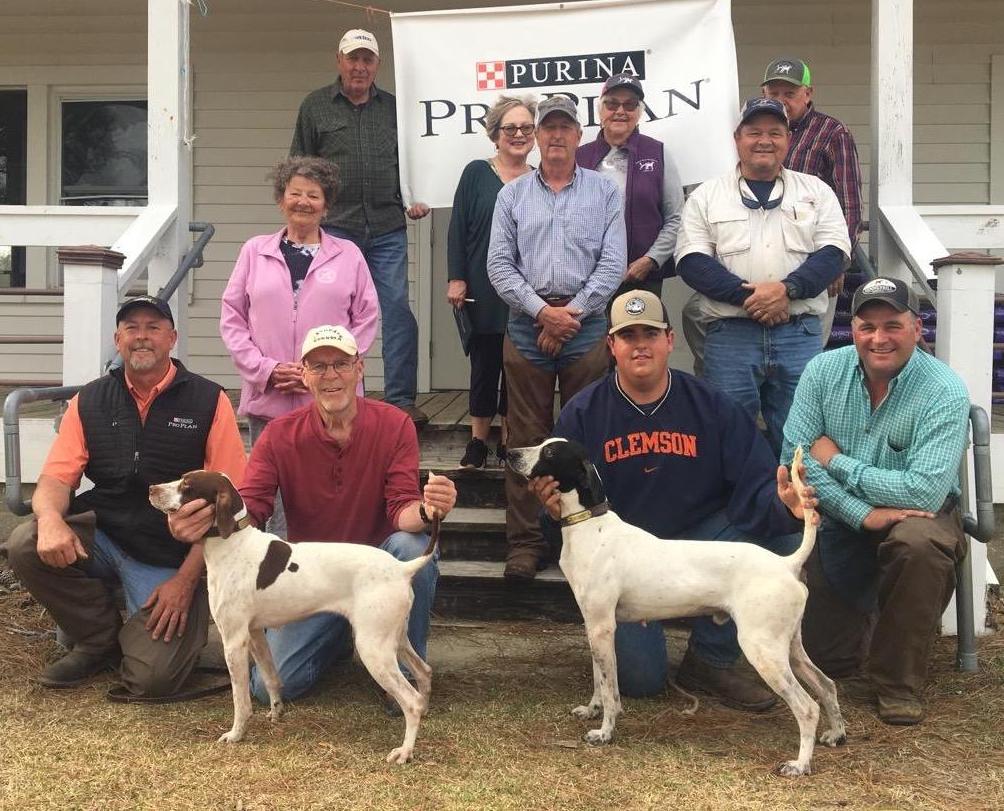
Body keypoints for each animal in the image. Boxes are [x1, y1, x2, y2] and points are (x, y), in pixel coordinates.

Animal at [146, 469, 437, 766]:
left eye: (187, 485)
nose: (151, 488)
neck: (233, 545)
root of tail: (402, 568)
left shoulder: (234, 641)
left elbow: (240, 699)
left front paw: (236, 733)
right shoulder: (254, 635)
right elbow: (272, 678)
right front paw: (276, 712)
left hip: (373, 648)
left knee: (411, 700)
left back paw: (405, 751)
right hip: (394, 640)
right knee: (424, 672)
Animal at [510, 437, 847, 774]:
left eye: (549, 452)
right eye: (543, 443)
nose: (510, 453)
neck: (591, 526)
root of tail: (786, 564)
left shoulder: (603, 628)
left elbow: (610, 690)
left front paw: (605, 732)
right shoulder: (594, 626)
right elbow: (598, 679)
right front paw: (592, 710)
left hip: (762, 649)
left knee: (807, 707)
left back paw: (800, 764)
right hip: (788, 647)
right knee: (827, 685)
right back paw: (836, 734)